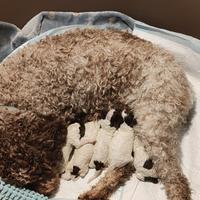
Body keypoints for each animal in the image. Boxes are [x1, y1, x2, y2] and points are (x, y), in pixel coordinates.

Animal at [0, 28, 194, 200]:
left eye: (38, 170)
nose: (45, 192)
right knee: (125, 167)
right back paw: (95, 193)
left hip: (154, 122)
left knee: (176, 180)